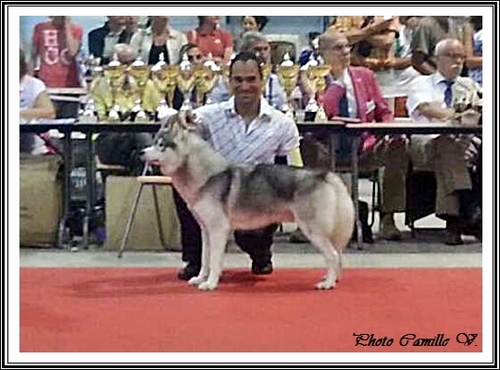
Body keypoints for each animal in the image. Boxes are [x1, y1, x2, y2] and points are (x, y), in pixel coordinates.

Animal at [143, 111, 356, 290]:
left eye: (161, 145)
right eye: (154, 142)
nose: (141, 152)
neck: (206, 175)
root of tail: (323, 175)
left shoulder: (218, 229)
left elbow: (214, 260)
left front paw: (210, 284)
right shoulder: (205, 229)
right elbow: (205, 259)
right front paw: (200, 278)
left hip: (312, 230)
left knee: (333, 255)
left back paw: (327, 283)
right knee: (337, 256)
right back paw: (331, 278)